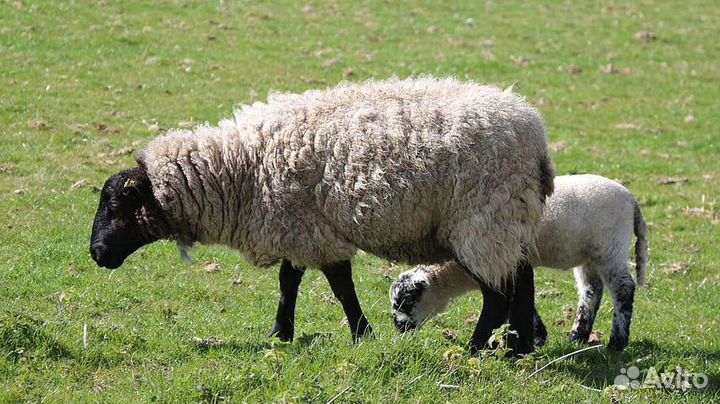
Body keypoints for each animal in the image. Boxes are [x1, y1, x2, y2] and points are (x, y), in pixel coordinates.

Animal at [89, 77, 554, 352]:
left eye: (114, 205)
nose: (96, 253)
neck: (239, 168)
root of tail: (534, 134)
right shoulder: (297, 227)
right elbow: (289, 281)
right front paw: (281, 334)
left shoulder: (311, 229)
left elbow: (339, 285)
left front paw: (361, 334)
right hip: (509, 218)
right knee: (521, 279)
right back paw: (518, 347)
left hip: (484, 219)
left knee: (497, 293)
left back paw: (476, 348)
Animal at [390, 174, 648, 351]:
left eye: (407, 302)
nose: (398, 327)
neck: (454, 272)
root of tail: (631, 200)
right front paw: (539, 336)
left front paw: (531, 338)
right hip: (590, 255)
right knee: (592, 290)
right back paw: (578, 336)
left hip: (611, 247)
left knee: (623, 288)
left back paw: (617, 342)